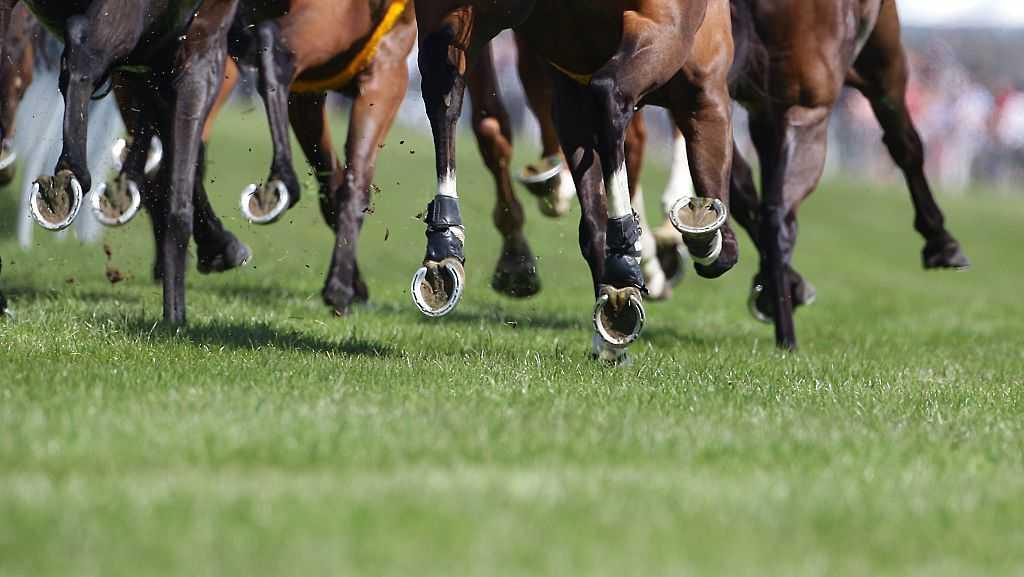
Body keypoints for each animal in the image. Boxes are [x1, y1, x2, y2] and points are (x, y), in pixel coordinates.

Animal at [414, 0, 738, 361]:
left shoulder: (570, 91)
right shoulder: (704, 84)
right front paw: (704, 235)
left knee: (441, 79)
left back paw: (445, 242)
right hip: (662, 28)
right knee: (610, 94)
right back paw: (626, 259)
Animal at [726, 0, 969, 350]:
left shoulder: (759, 108)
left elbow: (744, 190)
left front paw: (781, 287)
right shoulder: (881, 52)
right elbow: (905, 143)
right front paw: (941, 242)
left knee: (755, 199)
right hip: (809, 109)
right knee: (778, 215)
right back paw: (787, 337)